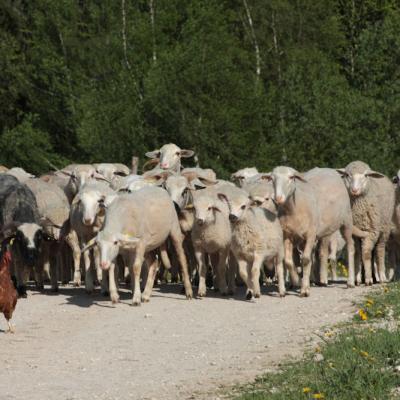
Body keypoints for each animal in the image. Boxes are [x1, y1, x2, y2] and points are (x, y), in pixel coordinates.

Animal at [264, 166, 354, 296]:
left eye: (291, 177)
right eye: (272, 178)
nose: (278, 198)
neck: (294, 208)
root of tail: (328, 169)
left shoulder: (311, 234)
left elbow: (306, 260)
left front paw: (304, 289)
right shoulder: (287, 235)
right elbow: (288, 261)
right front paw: (297, 281)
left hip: (346, 221)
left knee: (350, 247)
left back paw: (350, 282)